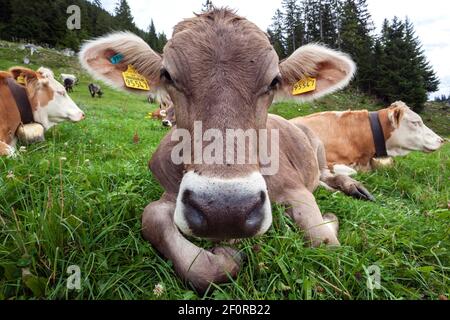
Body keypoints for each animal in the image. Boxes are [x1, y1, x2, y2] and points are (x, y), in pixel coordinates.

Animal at [80, 8, 372, 292]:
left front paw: (330, 220)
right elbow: (155, 221)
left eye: (274, 81)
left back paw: (354, 187)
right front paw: (224, 256)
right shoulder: (172, 193)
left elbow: (325, 242)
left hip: (317, 145)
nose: (225, 211)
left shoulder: (296, 190)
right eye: (168, 76)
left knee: (327, 173)